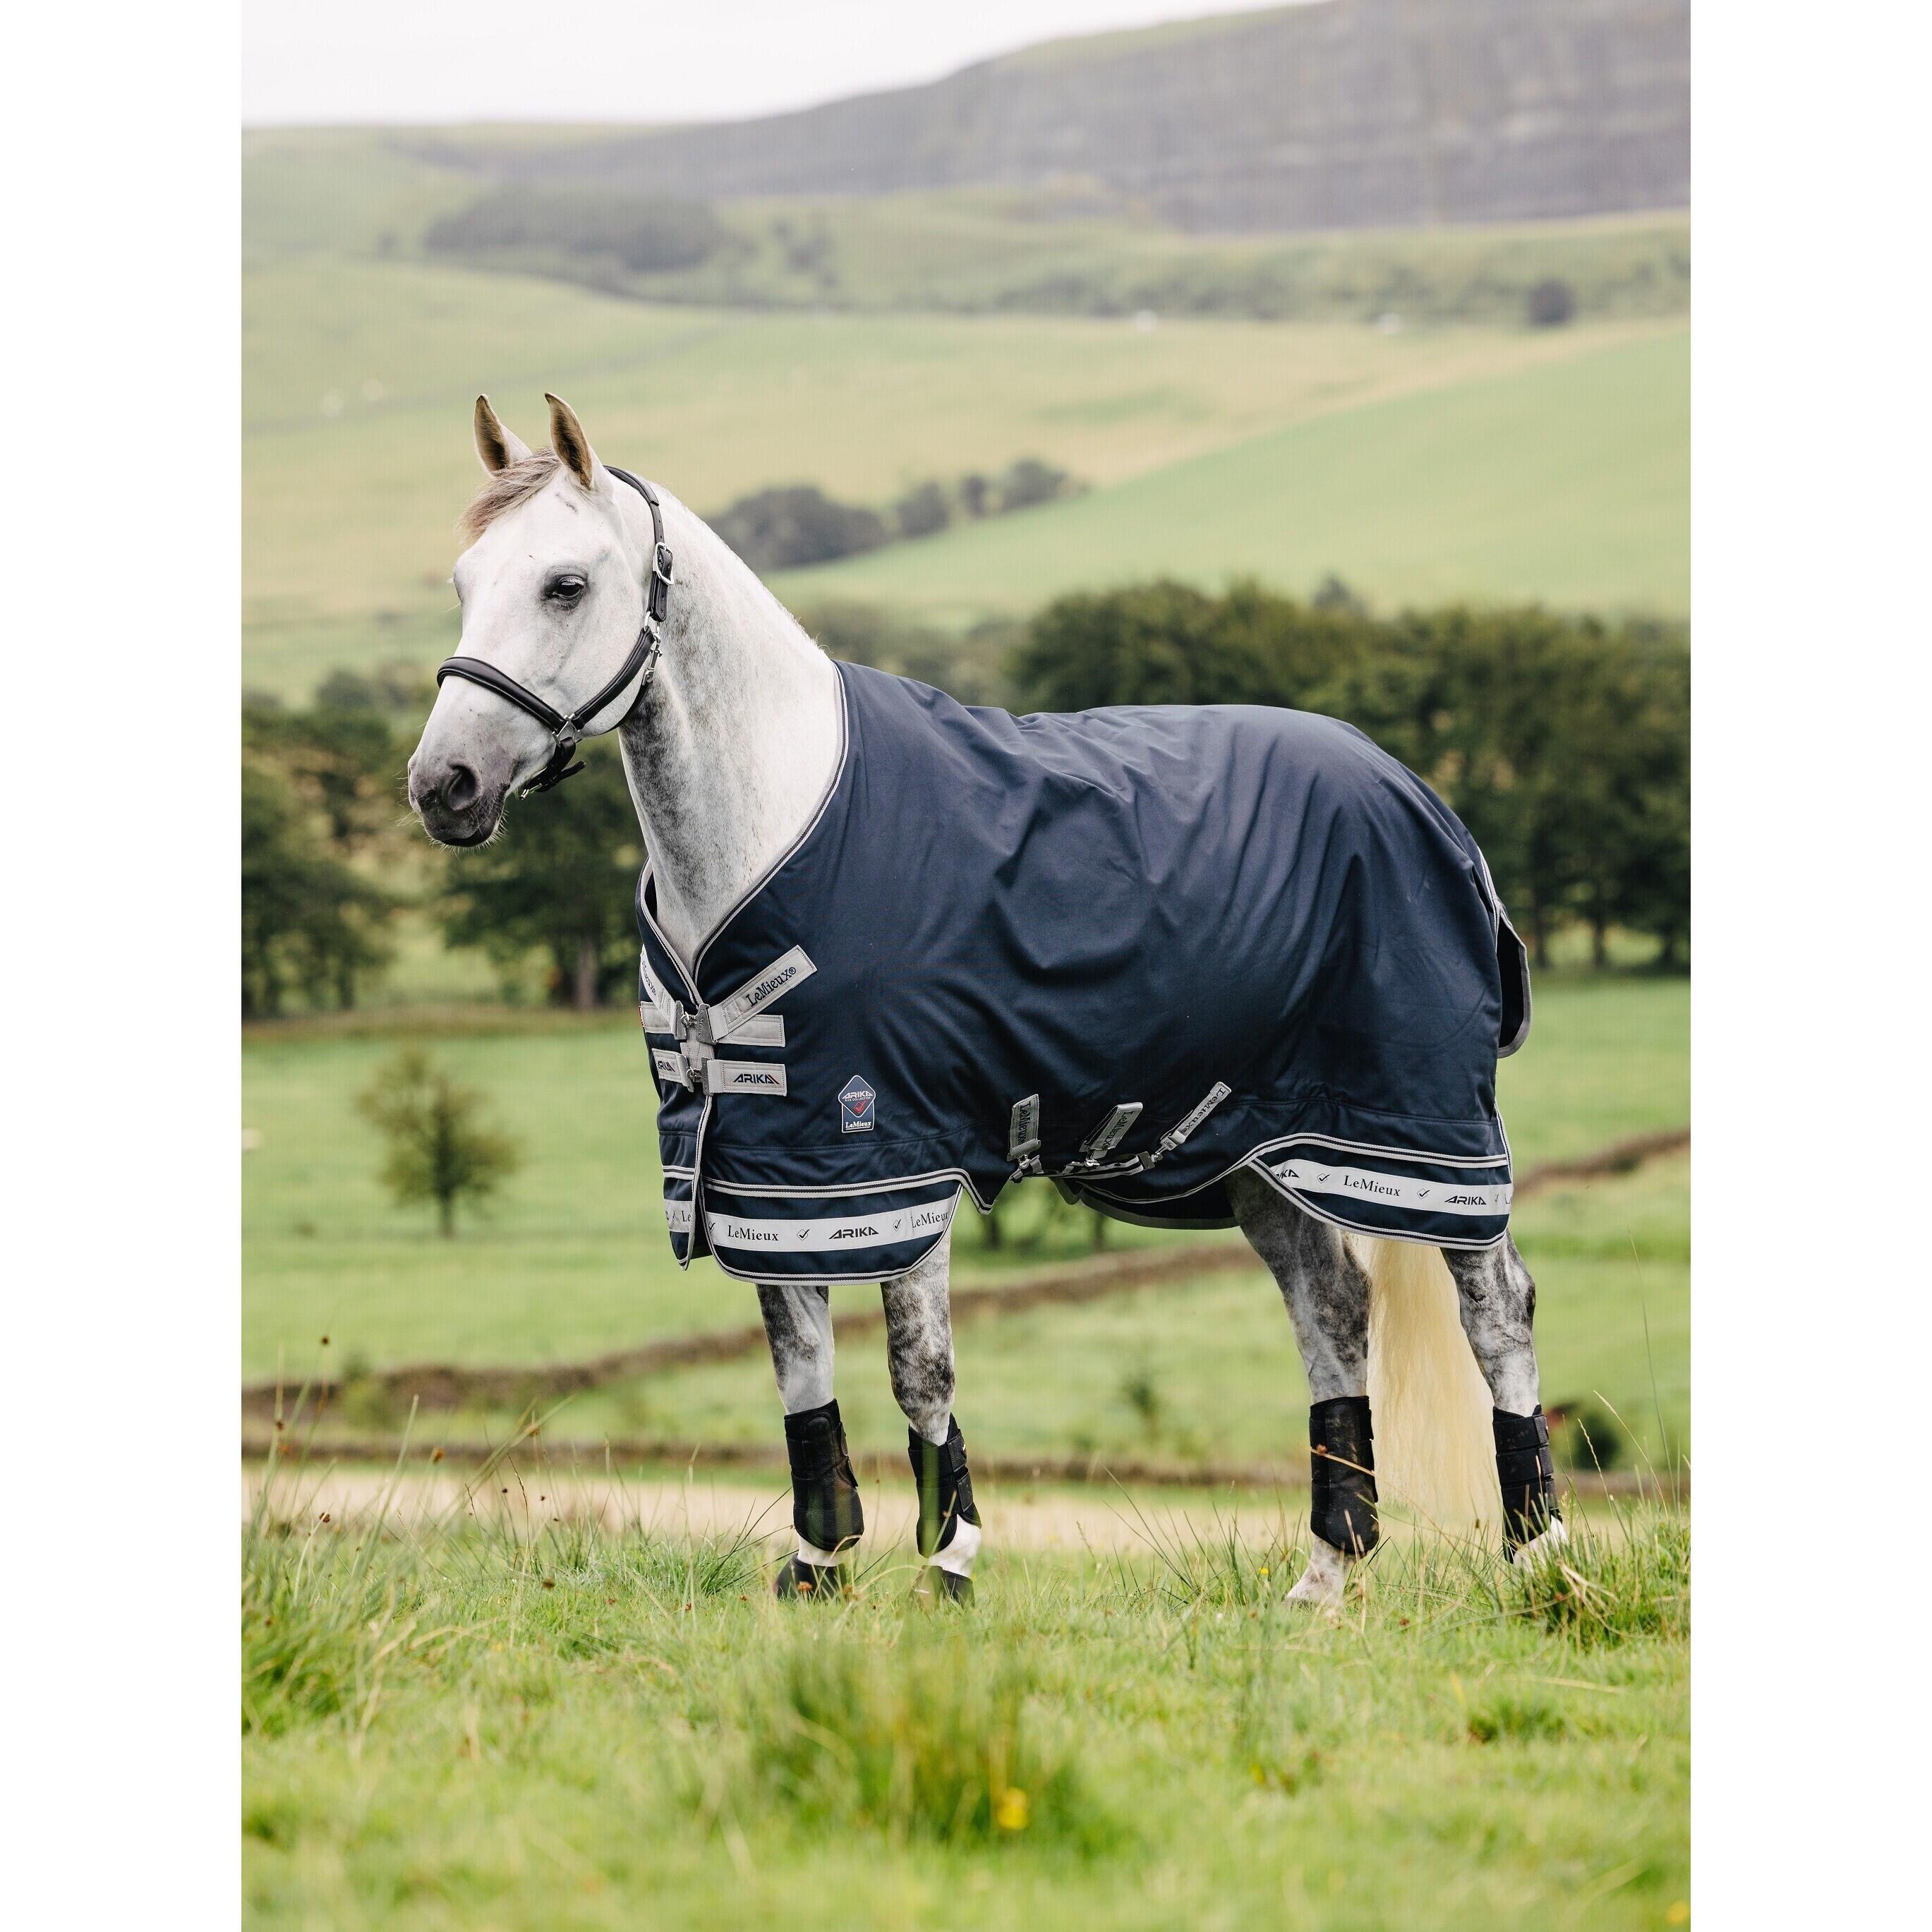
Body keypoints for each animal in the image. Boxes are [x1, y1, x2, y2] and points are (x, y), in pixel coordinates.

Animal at [407, 392, 1567, 1606]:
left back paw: (1538, 1557)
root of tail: (1416, 793)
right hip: (1263, 1146)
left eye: (565, 584)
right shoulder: (770, 1167)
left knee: (1496, 1306)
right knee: (1331, 1312)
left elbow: (919, 1365)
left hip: (1427, 1125)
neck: (773, 821)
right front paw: (818, 1560)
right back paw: (1325, 1573)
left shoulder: (889, 1153)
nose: (442, 787)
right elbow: (797, 1361)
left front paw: (949, 1561)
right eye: (464, 579)